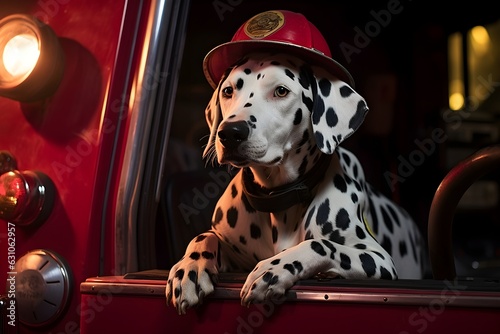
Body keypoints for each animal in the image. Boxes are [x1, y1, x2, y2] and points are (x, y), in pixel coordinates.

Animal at [166, 52, 424, 316]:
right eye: (228, 91)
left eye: (281, 91)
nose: (230, 133)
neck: (278, 197)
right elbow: (204, 236)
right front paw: (190, 268)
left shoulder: (378, 259)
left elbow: (319, 243)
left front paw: (273, 270)